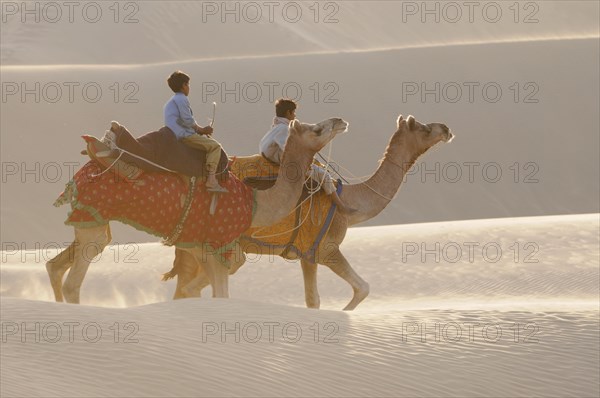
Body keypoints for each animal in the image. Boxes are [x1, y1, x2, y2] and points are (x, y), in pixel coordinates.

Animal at [47, 116, 350, 304]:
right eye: (316, 129)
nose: (339, 120)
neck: (256, 203)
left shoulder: (200, 244)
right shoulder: (218, 244)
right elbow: (220, 294)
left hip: (91, 217)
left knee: (56, 265)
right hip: (94, 214)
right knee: (75, 278)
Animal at [166, 113, 452, 310]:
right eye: (424, 128)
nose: (446, 128)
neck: (350, 204)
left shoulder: (306, 253)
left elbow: (313, 299)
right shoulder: (325, 249)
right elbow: (361, 289)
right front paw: (344, 312)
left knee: (186, 287)